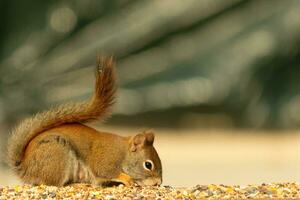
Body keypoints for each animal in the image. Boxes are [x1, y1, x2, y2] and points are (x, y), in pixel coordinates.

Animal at [6, 55, 162, 186]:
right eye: (148, 165)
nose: (158, 183)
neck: (123, 152)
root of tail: (26, 168)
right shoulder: (106, 160)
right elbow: (107, 172)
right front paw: (127, 179)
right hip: (57, 153)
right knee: (51, 183)